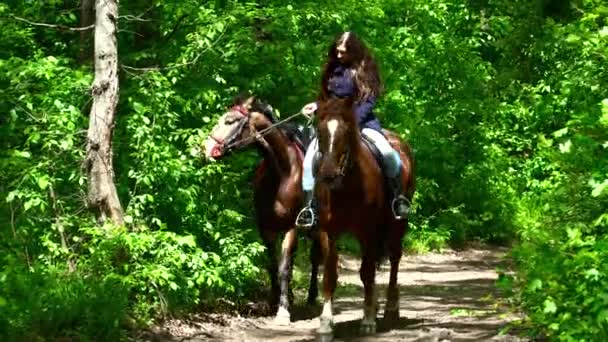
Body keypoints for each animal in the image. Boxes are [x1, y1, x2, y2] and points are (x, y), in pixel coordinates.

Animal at [201, 95, 324, 324]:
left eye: (230, 121)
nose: (206, 147)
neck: (282, 173)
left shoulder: (292, 227)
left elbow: (284, 268)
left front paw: (283, 311)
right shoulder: (266, 228)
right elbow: (273, 265)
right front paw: (274, 301)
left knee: (315, 258)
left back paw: (312, 298)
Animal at [314, 97, 414, 340]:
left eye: (347, 131)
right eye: (319, 131)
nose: (328, 174)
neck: (347, 187)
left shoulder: (367, 230)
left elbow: (367, 273)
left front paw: (368, 320)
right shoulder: (327, 232)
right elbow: (330, 275)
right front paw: (325, 325)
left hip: (397, 224)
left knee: (394, 259)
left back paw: (390, 307)